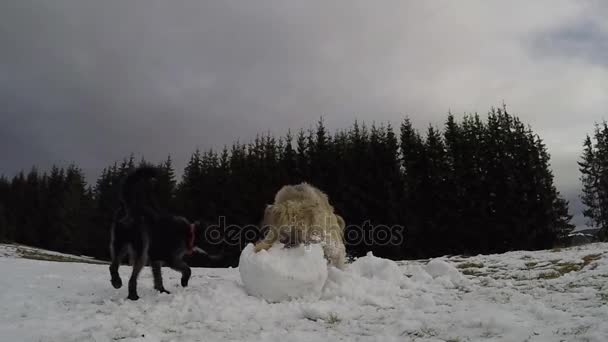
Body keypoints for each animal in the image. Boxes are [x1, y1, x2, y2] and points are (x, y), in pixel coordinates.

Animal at [109, 167, 214, 300]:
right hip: (141, 251)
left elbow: (158, 277)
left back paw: (116, 282)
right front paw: (184, 282)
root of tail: (130, 206)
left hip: (120, 244)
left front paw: (161, 290)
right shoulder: (171, 258)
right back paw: (133, 295)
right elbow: (187, 269)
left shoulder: (156, 259)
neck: (189, 233)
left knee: (113, 266)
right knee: (132, 278)